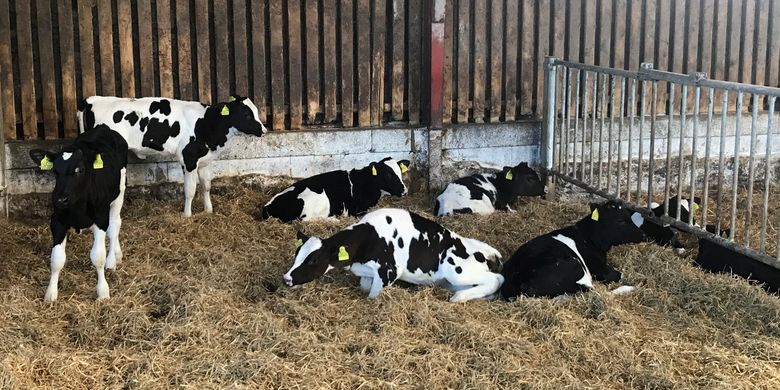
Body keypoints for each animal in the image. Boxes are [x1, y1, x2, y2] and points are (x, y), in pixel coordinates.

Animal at [29, 125, 128, 302]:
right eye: (55, 170)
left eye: (79, 170)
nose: (60, 198)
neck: (78, 206)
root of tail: (104, 127)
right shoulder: (57, 221)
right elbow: (56, 259)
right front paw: (51, 293)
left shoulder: (101, 218)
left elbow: (98, 256)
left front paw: (103, 292)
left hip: (120, 192)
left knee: (115, 225)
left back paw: (113, 259)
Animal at [78, 94, 268, 216]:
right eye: (246, 114)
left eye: (256, 111)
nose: (264, 130)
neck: (206, 124)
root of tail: (94, 99)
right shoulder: (189, 159)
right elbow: (190, 190)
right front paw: (187, 215)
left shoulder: (205, 161)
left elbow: (206, 186)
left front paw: (208, 210)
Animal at [262, 156, 412, 222]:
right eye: (388, 174)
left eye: (400, 171)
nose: (404, 190)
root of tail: (267, 206)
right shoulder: (356, 210)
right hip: (317, 199)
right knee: (306, 220)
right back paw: (334, 219)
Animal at [284, 207, 502, 302]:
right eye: (296, 255)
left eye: (313, 259)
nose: (286, 278)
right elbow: (365, 286)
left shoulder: (389, 271)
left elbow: (372, 296)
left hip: (457, 271)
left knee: (497, 279)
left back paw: (459, 297)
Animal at [500, 200, 644, 300]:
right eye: (620, 221)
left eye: (629, 217)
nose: (643, 235)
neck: (588, 237)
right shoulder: (599, 269)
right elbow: (619, 274)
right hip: (575, 264)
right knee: (592, 291)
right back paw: (629, 288)